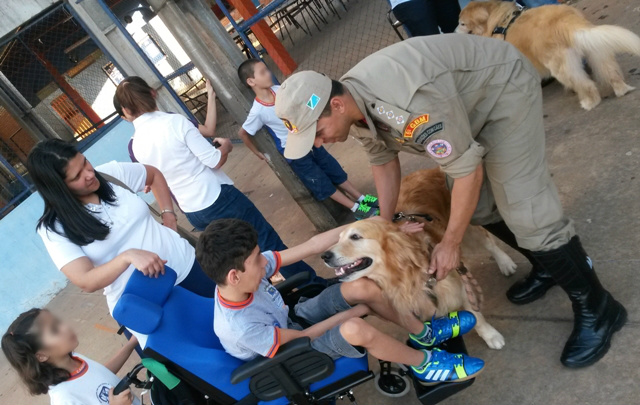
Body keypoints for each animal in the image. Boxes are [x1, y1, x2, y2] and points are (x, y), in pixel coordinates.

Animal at [320, 167, 516, 348]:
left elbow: (476, 315)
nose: (324, 256)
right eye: (338, 239)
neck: (404, 274)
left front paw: (491, 335)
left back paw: (506, 263)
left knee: (490, 242)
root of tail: (432, 169)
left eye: (355, 237)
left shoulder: (457, 282)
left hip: (463, 227)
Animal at [456, 0, 640, 109]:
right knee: (611, 72)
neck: (496, 22)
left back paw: (589, 103)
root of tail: (565, 20)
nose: (453, 33)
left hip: (560, 67)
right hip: (596, 51)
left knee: (586, 85)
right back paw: (622, 89)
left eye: (462, 23)